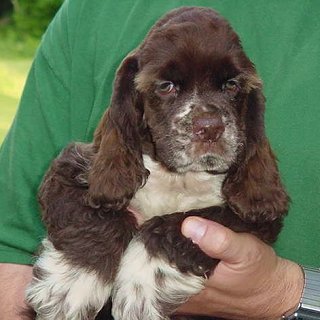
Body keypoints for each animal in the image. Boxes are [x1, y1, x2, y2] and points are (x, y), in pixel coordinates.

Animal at [26, 6, 288, 320]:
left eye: (231, 85)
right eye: (166, 86)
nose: (210, 127)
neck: (178, 175)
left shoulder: (253, 217)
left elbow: (176, 224)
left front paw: (138, 292)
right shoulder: (71, 170)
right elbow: (94, 219)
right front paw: (71, 290)